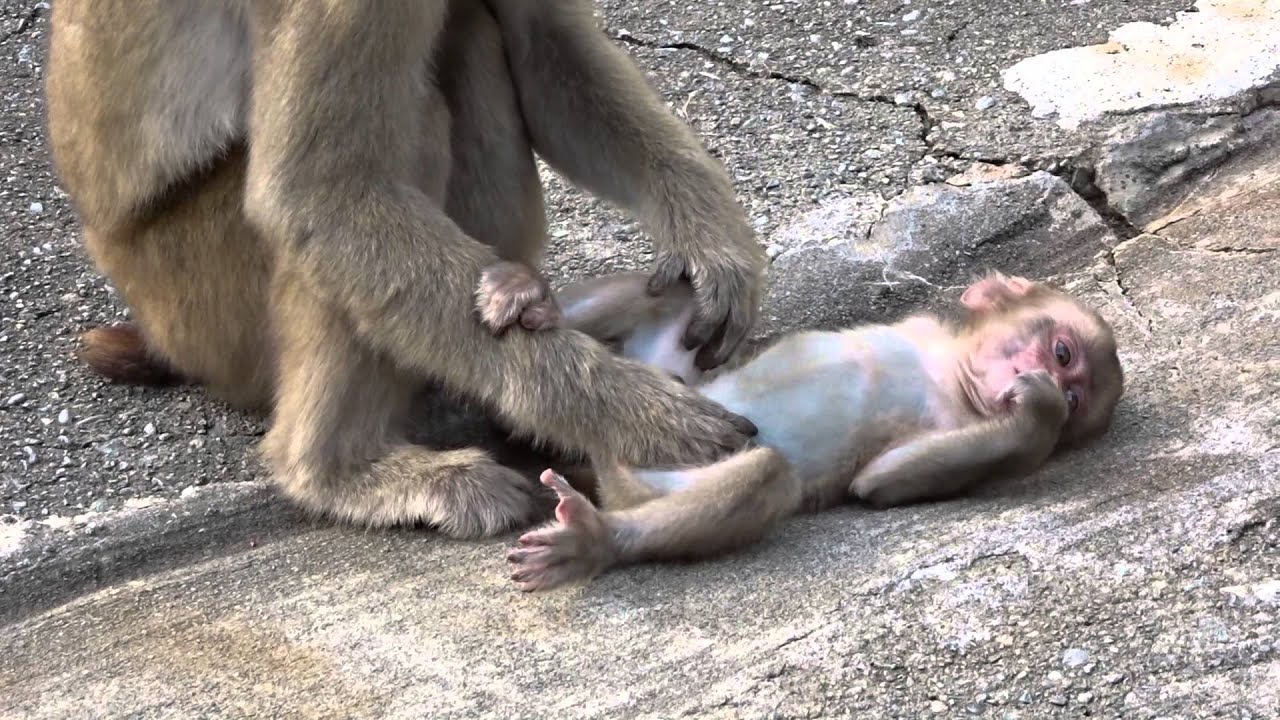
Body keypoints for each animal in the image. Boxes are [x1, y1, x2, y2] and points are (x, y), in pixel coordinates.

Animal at [45, 0, 767, 539]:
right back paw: (334, 468)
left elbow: (546, 46)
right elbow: (319, 191)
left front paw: (712, 241)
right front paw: (640, 419)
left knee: (472, 36)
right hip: (203, 297)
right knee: (408, 122)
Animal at [478, 266, 1125, 590]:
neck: (951, 373)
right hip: (671, 384)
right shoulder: (923, 327)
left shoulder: (959, 422)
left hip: (645, 476)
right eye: (1062, 351)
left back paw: (599, 539)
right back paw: (529, 312)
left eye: (1075, 397)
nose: (1051, 379)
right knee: (670, 298)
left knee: (769, 473)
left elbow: (882, 482)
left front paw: (1039, 412)